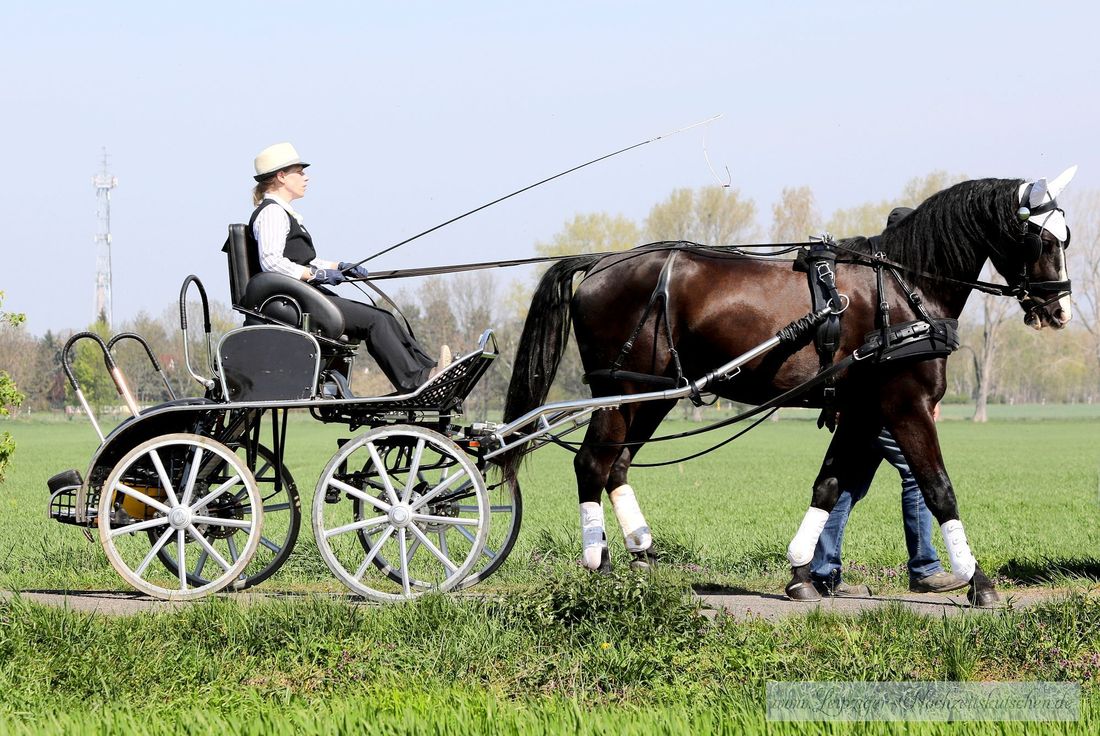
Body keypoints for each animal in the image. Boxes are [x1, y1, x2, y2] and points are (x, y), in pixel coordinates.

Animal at [503, 169, 1073, 607]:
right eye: (1042, 240)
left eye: (1064, 237)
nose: (1060, 309)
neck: (903, 290)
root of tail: (602, 262)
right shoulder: (905, 407)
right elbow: (938, 488)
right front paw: (978, 580)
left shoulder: (862, 413)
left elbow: (829, 486)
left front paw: (801, 574)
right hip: (620, 391)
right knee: (591, 464)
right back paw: (597, 564)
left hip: (653, 395)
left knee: (616, 466)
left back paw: (641, 555)